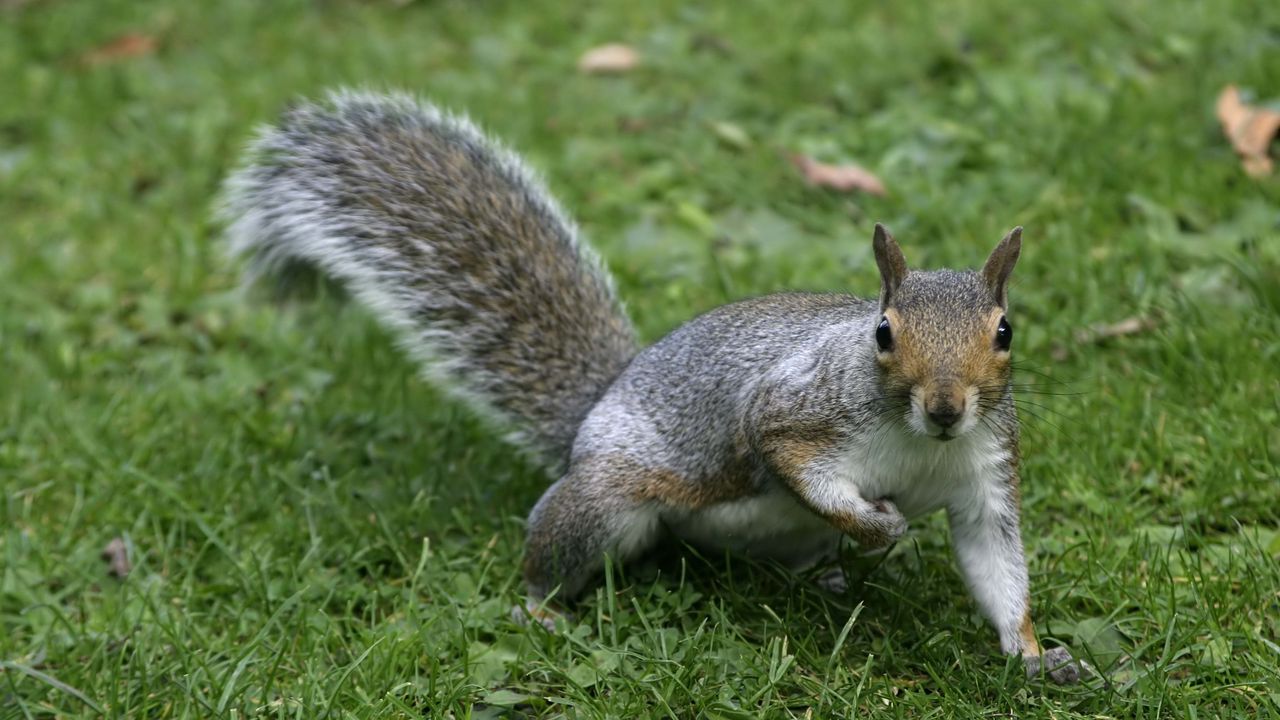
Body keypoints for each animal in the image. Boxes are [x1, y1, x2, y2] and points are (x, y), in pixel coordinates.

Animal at [220, 88, 1080, 676]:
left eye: (1005, 333)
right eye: (883, 333)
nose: (945, 407)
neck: (919, 444)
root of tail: (588, 417)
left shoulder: (985, 476)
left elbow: (997, 567)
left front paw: (1035, 655)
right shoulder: (792, 412)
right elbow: (791, 460)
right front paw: (878, 528)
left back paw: (830, 578)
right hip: (606, 503)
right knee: (556, 552)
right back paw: (541, 610)